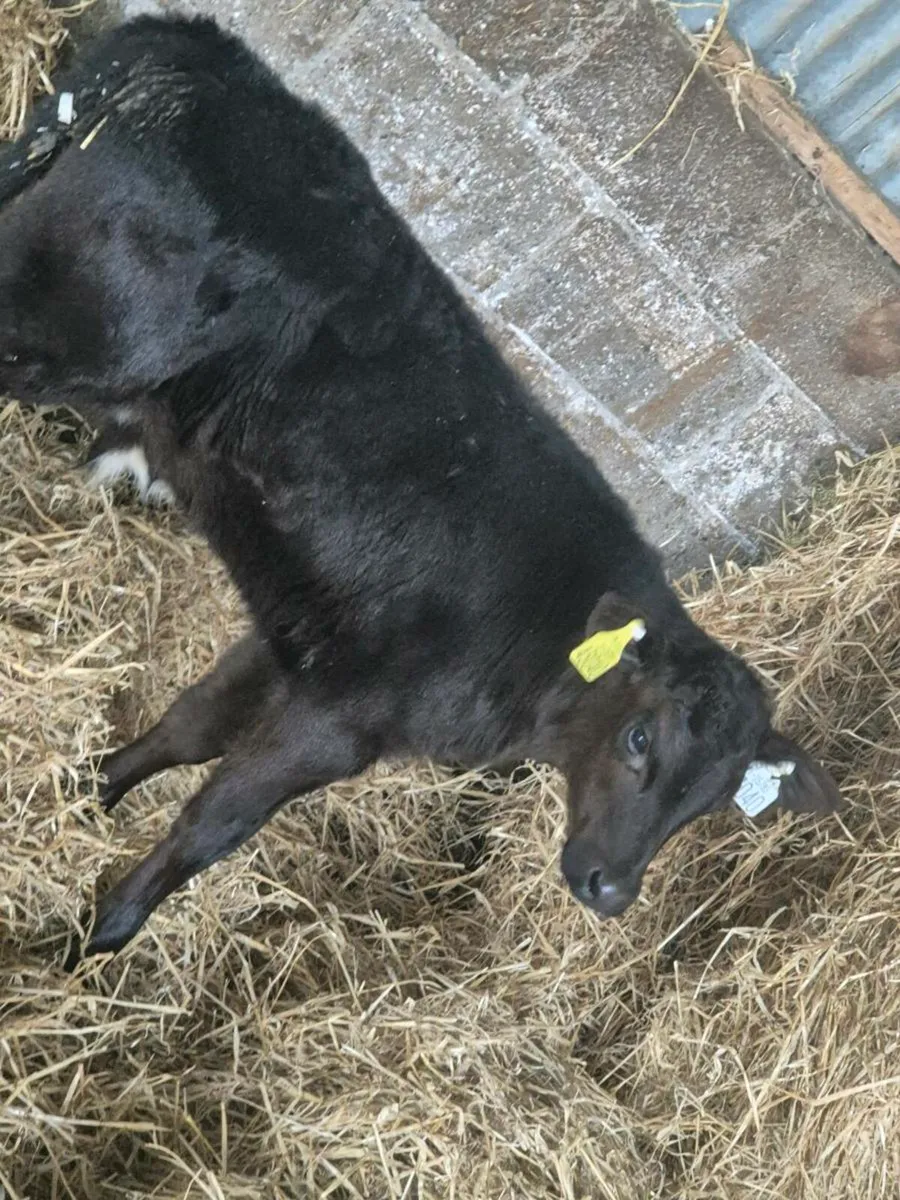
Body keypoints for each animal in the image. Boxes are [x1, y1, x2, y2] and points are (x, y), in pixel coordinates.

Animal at [0, 16, 840, 965]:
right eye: (637, 737)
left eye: (709, 803)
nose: (611, 888)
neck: (540, 645)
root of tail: (203, 52)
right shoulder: (346, 715)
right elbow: (210, 827)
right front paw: (91, 943)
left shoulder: (299, 643)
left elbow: (188, 728)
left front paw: (88, 791)